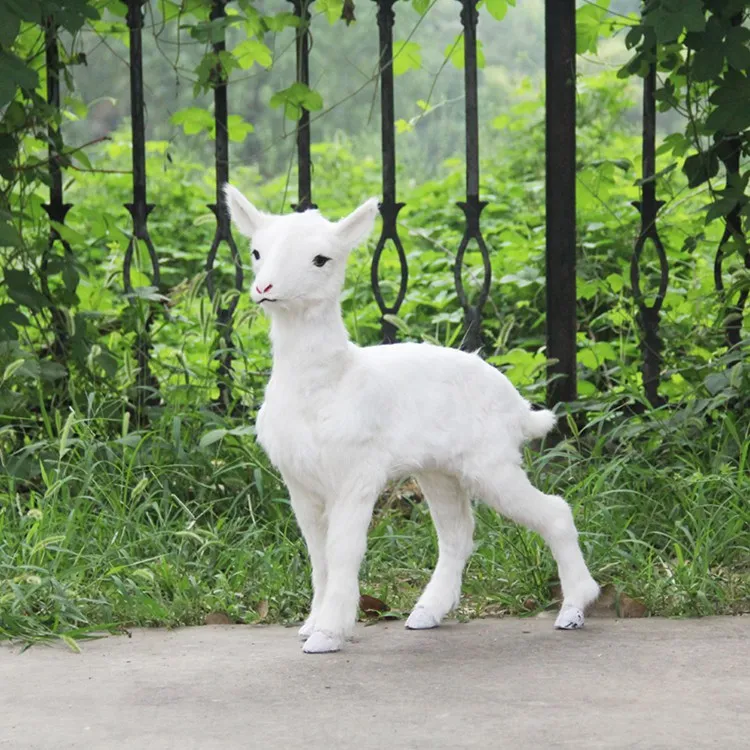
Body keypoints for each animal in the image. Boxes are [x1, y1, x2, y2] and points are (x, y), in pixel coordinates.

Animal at [224, 184, 600, 654]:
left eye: (321, 259)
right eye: (256, 251)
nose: (265, 287)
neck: (331, 381)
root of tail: (519, 409)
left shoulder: (357, 473)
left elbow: (343, 551)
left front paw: (328, 634)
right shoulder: (299, 481)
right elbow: (318, 554)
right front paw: (310, 625)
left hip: (491, 461)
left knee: (555, 511)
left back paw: (574, 609)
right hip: (439, 470)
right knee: (458, 532)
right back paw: (427, 613)